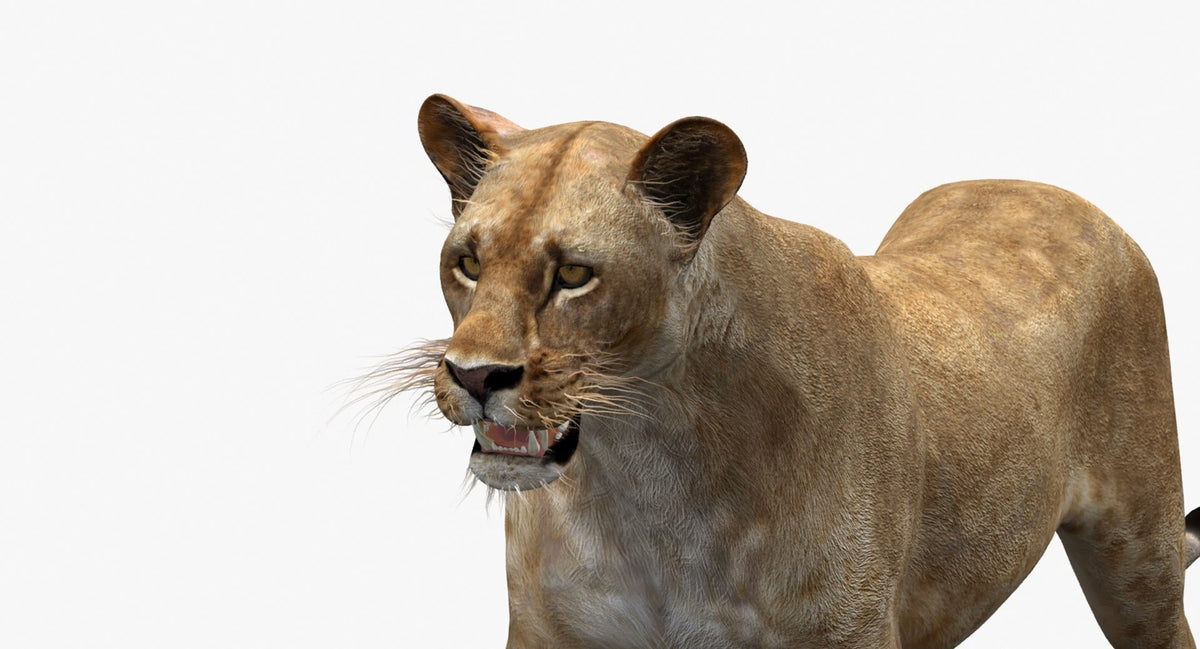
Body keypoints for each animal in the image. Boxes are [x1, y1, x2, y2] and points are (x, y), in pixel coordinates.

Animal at [394, 93, 1200, 648]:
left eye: (573, 275)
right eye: (467, 262)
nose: (475, 376)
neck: (644, 480)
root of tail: (1045, 186)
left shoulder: (849, 629)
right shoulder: (550, 629)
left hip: (1141, 557)